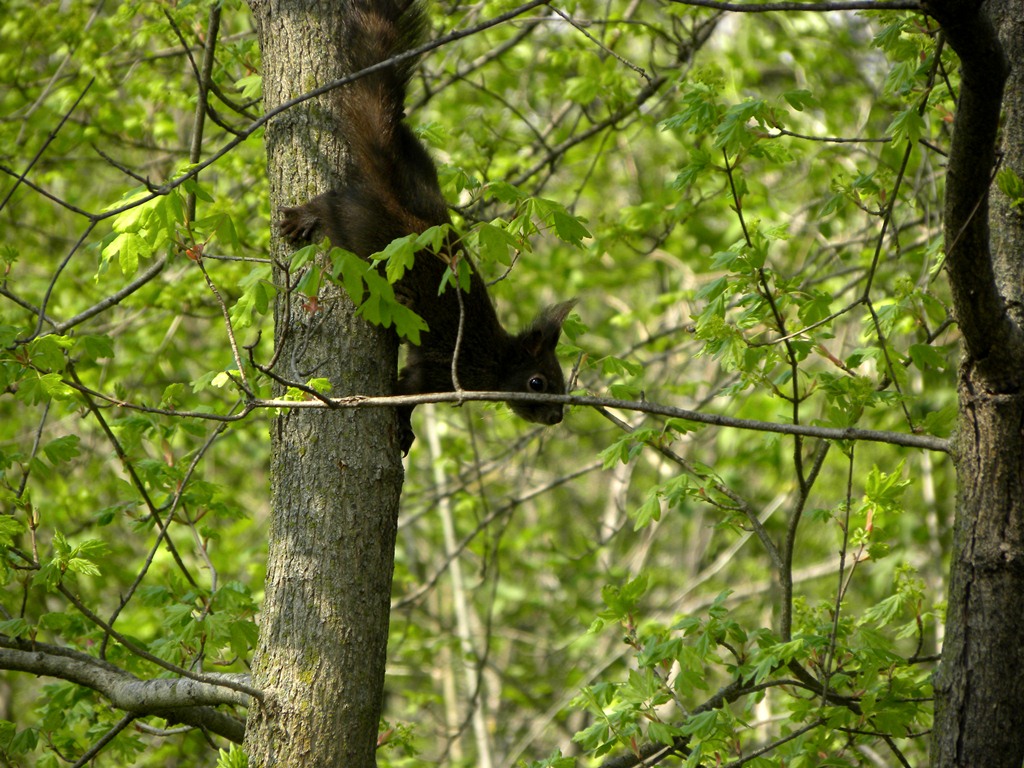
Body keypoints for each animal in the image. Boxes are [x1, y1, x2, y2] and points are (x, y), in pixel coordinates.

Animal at [280, 0, 577, 454]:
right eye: (537, 382)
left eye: (560, 384)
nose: (556, 417)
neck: (494, 360)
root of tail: (393, 191)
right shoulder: (442, 371)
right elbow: (406, 392)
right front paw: (403, 428)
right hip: (356, 225)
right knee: (331, 206)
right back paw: (301, 218)